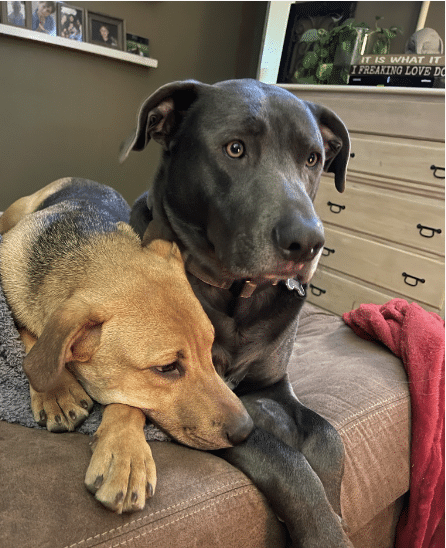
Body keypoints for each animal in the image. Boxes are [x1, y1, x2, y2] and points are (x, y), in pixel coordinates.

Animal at [0, 179, 251, 512]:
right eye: (167, 368)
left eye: (209, 350)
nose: (247, 431)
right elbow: (30, 337)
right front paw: (56, 390)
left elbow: (130, 406)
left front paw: (126, 455)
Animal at [121, 80, 352, 548]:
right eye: (234, 149)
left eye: (313, 159)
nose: (309, 242)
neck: (238, 294)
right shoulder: (206, 401)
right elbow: (285, 460)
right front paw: (325, 533)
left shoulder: (275, 385)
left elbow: (328, 436)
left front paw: (338, 516)